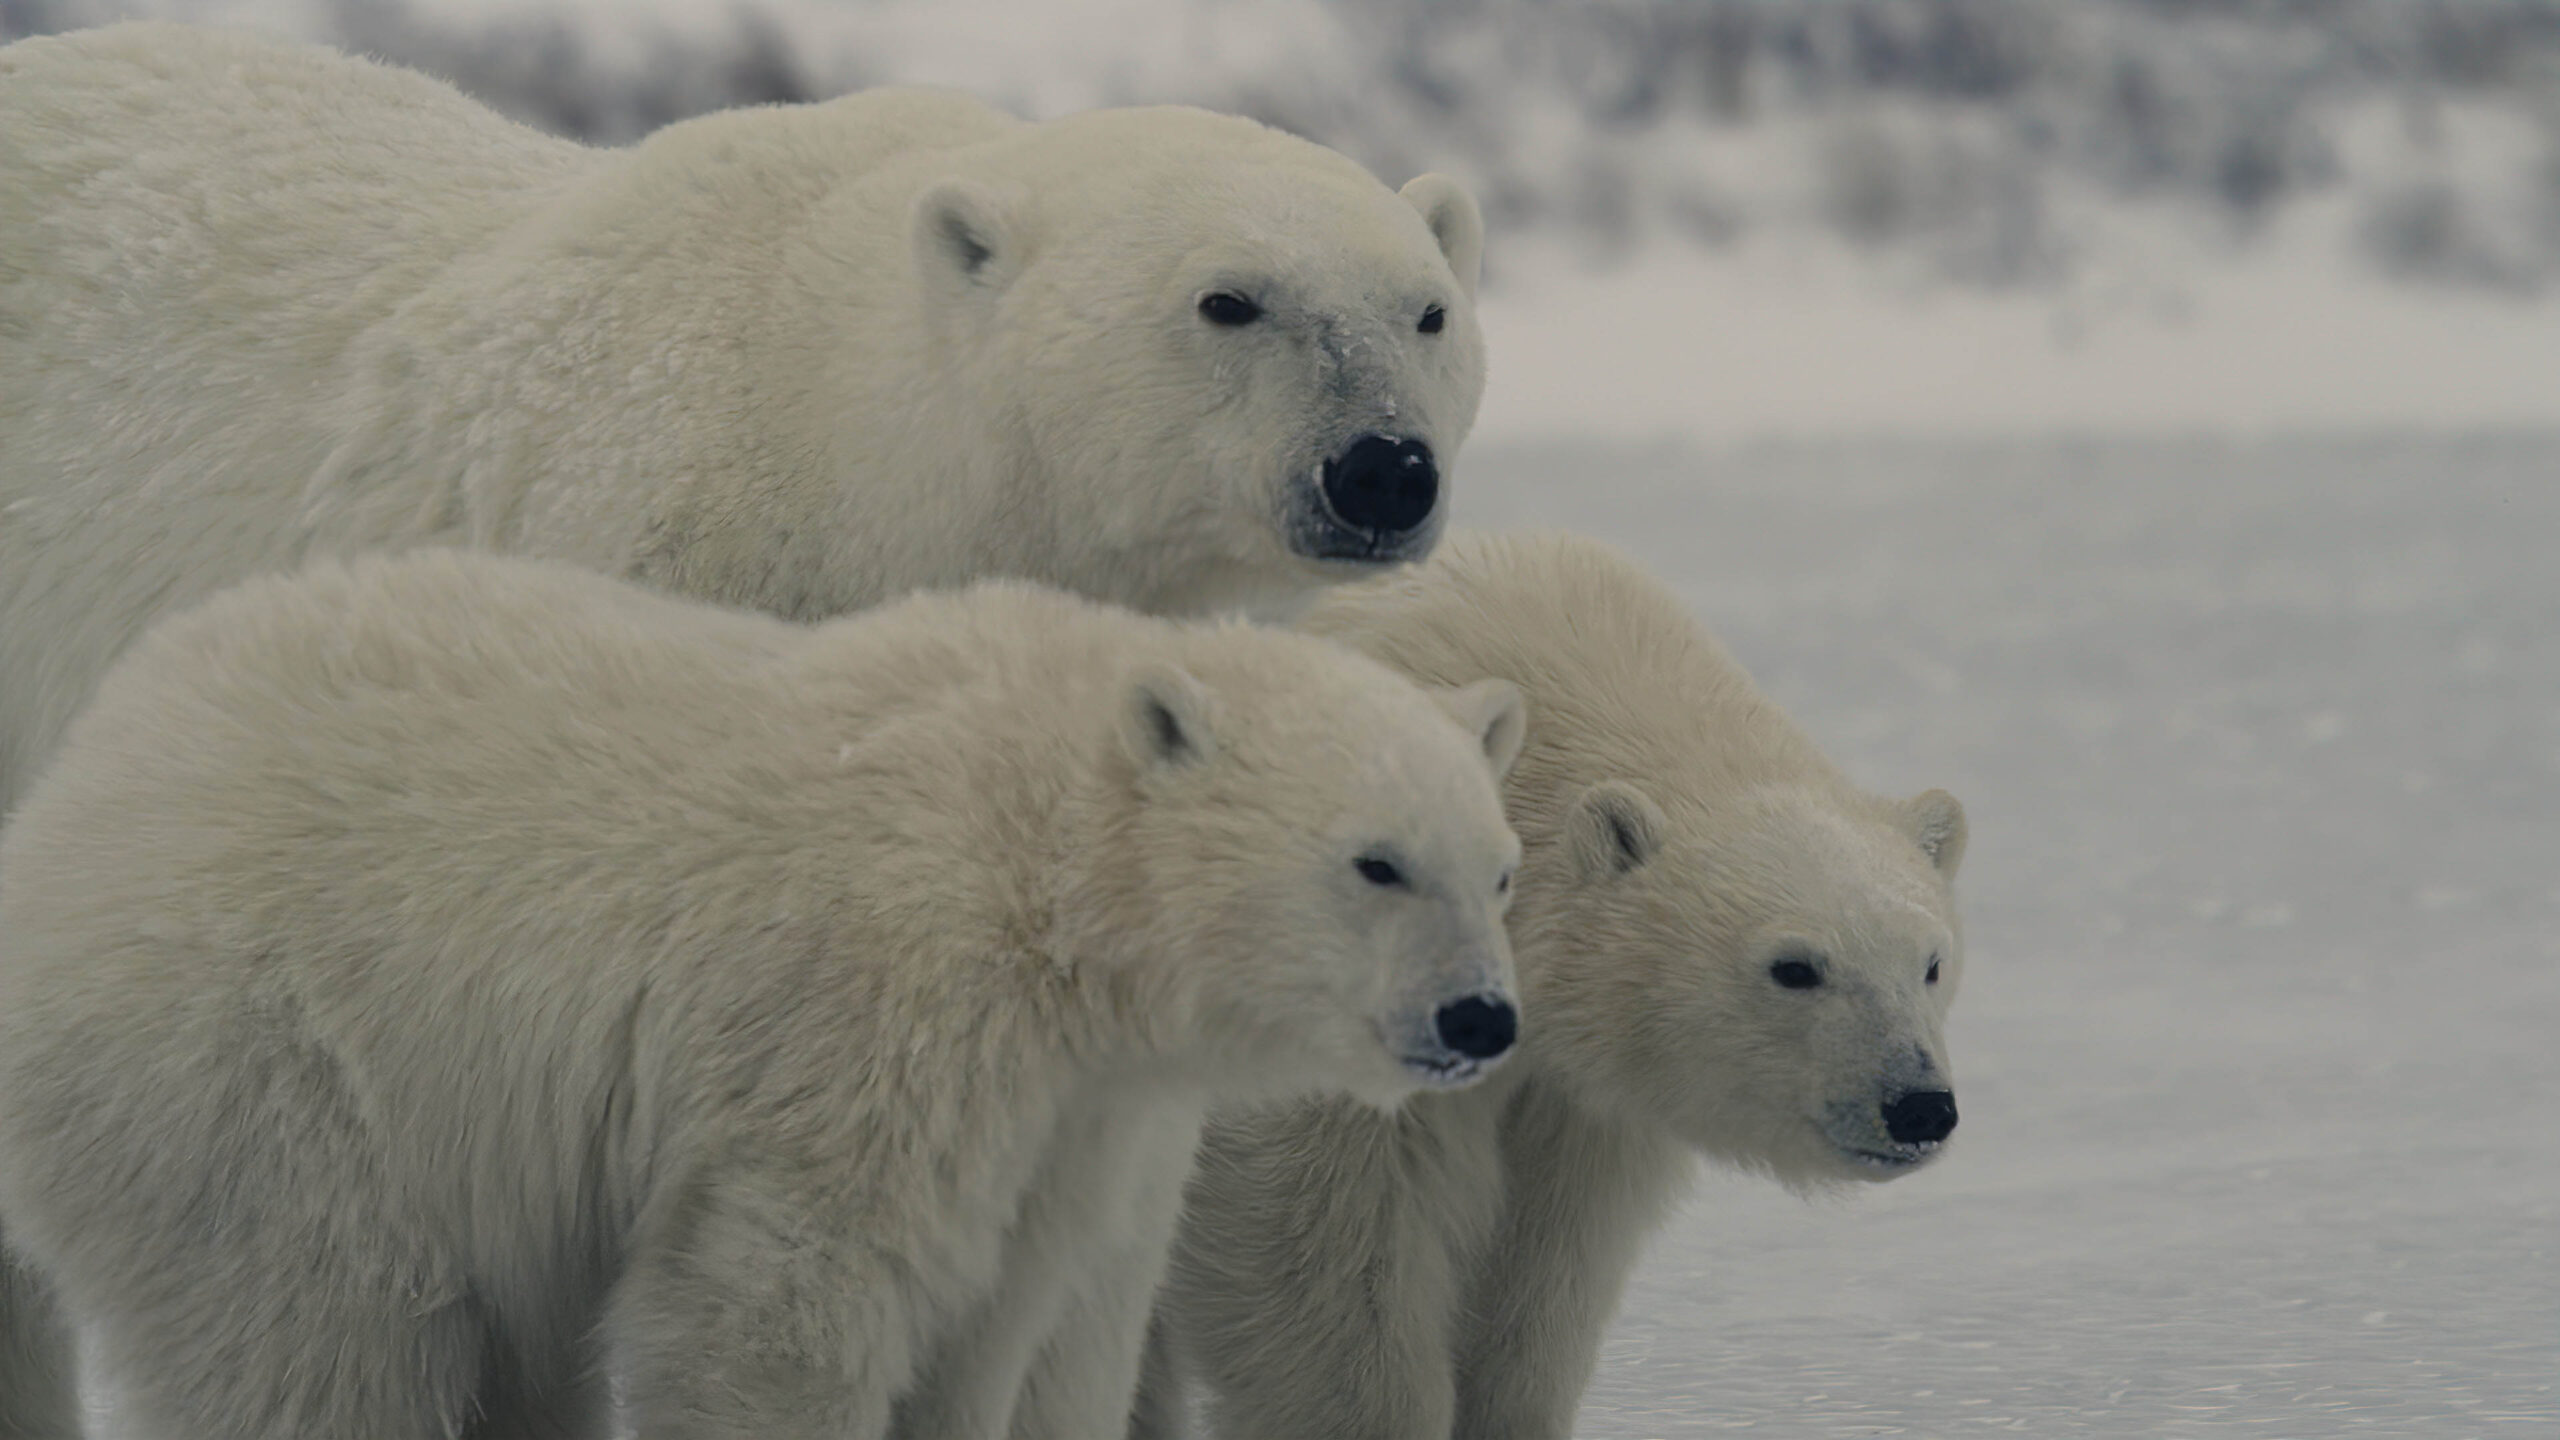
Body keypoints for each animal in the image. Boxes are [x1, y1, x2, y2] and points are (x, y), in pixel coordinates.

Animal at [0, 548, 1515, 1434]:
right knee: (317, 1333)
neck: (1037, 859)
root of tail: (84, 770)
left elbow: (992, 1318)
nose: (1480, 1020)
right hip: (264, 1054)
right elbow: (782, 1298)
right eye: (1377, 862)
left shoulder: (1079, 1118)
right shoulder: (872, 1009)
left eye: (1499, 870)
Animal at [1146, 532, 1976, 1434]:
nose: (1918, 1105)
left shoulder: (1576, 1101)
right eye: (1794, 967)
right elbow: (1319, 1254)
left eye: (1930, 962)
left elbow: (1543, 1275)